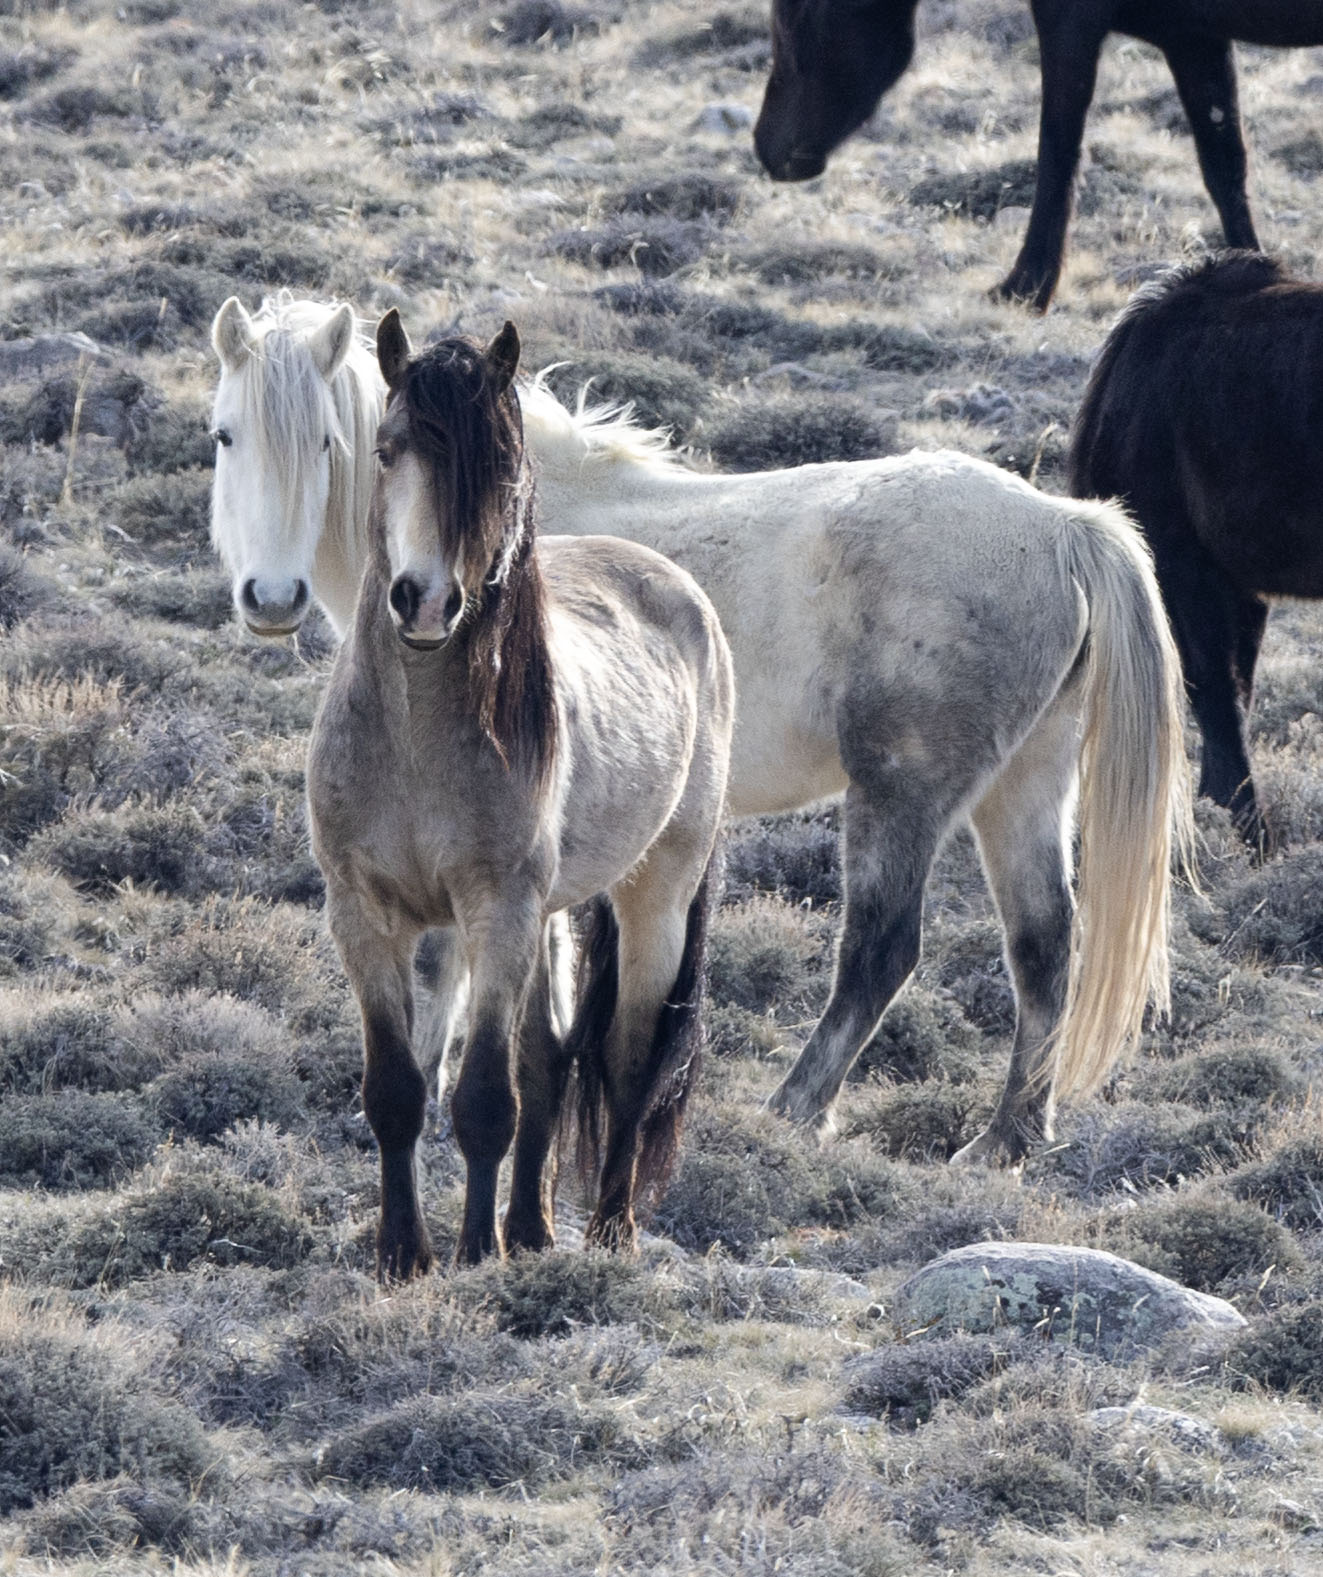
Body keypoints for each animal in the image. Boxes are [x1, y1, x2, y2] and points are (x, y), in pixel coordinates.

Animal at [213, 294, 1190, 1167]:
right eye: (226, 435)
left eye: (331, 443)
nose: (271, 597)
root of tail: (1062, 526)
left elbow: (455, 962)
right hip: (1023, 786)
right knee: (1043, 946)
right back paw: (1006, 1138)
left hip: (901, 790)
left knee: (880, 949)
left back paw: (795, 1107)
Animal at [305, 314, 733, 1276]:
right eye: (386, 450)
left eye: (497, 466)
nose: (423, 601)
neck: (416, 738)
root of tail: (674, 583)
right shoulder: (363, 912)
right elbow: (400, 1088)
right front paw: (403, 1253)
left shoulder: (494, 908)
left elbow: (481, 1098)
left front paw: (471, 1251)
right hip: (545, 916)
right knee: (550, 1057)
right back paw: (532, 1227)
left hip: (651, 895)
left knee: (623, 1060)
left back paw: (608, 1229)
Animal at [752, 0, 1323, 311]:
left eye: (796, 21)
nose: (766, 147)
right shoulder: (1192, 36)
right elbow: (1224, 167)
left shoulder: (1070, 22)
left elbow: (1057, 152)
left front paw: (1025, 289)